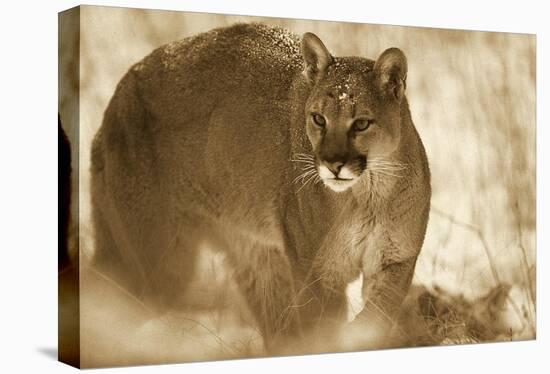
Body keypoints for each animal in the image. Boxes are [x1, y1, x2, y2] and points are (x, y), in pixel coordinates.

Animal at [92, 24, 434, 354]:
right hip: (157, 263)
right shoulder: (316, 275)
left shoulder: (396, 260)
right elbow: (323, 330)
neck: (368, 193)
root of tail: (117, 95)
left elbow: (378, 315)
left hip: (257, 260)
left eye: (361, 123)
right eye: (319, 119)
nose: (333, 164)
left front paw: (359, 335)